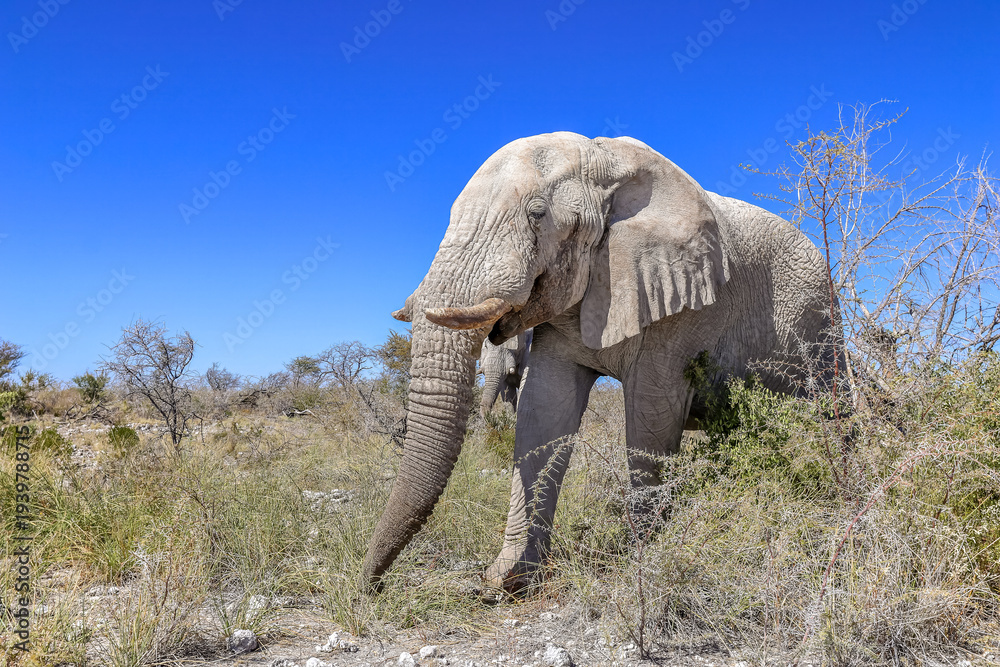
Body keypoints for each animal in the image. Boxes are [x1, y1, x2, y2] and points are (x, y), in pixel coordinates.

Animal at [362, 131, 843, 592]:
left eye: (537, 214)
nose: (370, 586)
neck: (604, 162)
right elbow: (545, 411)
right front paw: (509, 580)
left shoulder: (686, 302)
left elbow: (652, 415)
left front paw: (644, 562)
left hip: (820, 329)